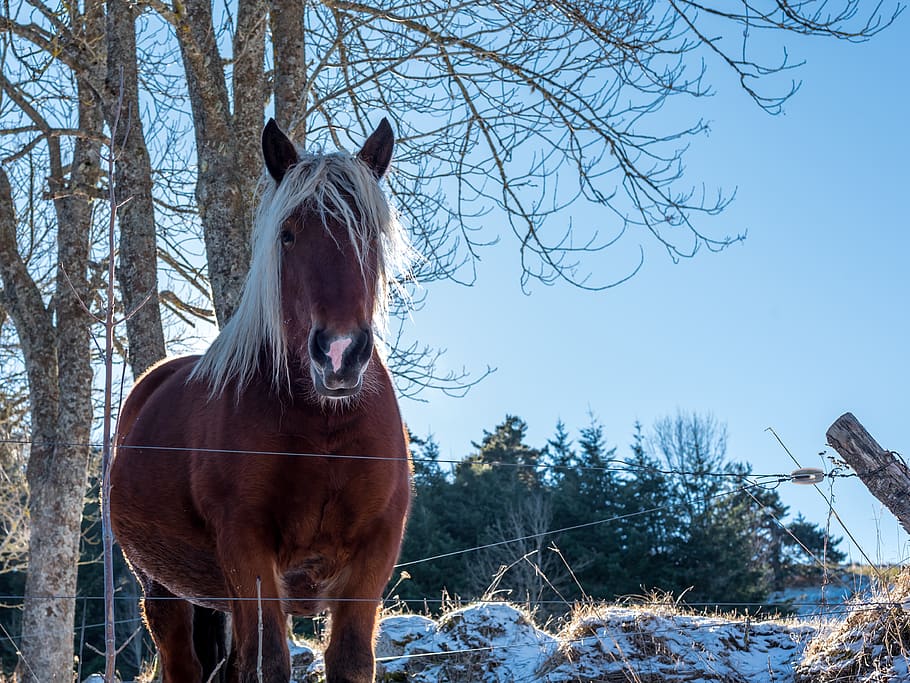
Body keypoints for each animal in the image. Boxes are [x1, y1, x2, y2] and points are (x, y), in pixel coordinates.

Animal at [110, 118, 413, 683]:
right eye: (287, 235)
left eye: (369, 234)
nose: (339, 353)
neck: (323, 426)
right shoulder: (247, 548)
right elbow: (268, 663)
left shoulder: (373, 553)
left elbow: (350, 662)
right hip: (164, 592)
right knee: (186, 664)